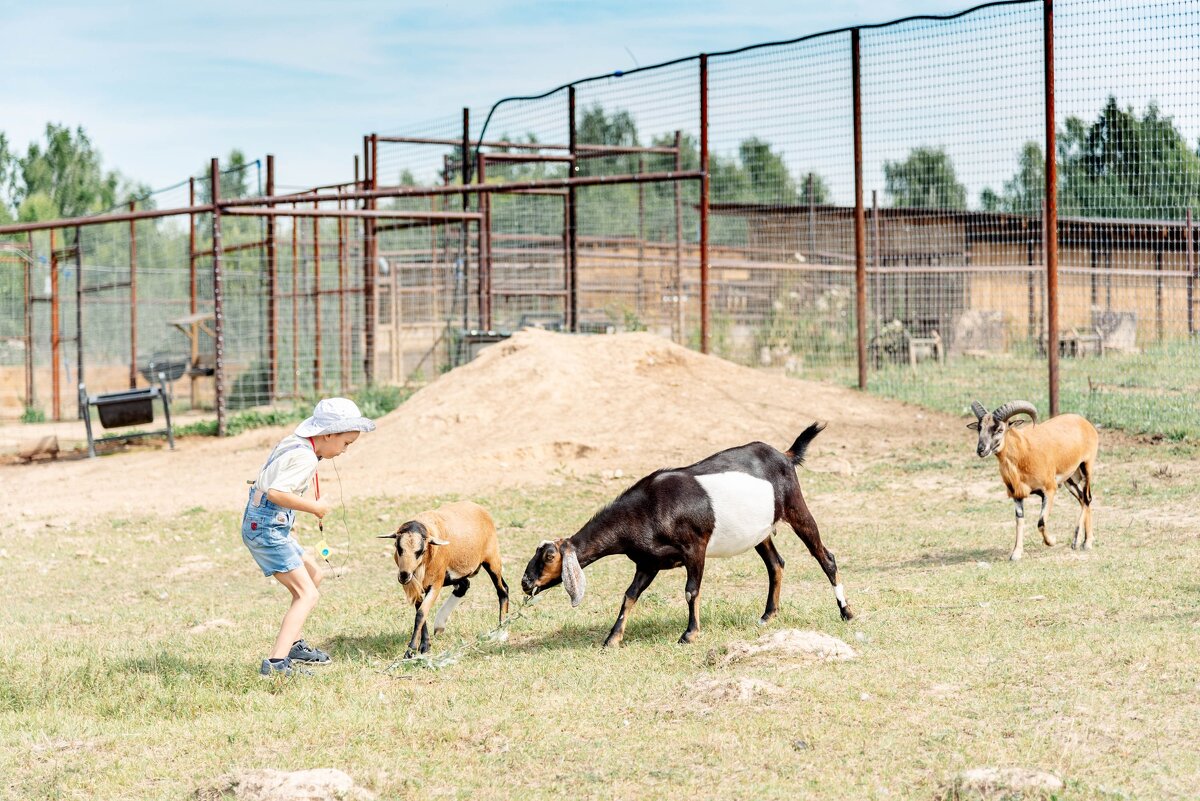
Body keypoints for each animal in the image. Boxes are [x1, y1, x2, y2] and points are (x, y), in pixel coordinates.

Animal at [376, 501, 504, 657]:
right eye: (398, 547)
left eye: (421, 551)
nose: (404, 575)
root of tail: (479, 507)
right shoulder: (418, 587)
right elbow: (421, 614)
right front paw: (425, 645)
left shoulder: (436, 584)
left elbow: (421, 614)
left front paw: (411, 651)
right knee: (464, 585)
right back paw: (439, 625)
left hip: (492, 560)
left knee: (503, 590)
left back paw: (501, 632)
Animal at [520, 422, 849, 647]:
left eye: (549, 556)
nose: (525, 583)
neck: (648, 507)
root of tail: (784, 455)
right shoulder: (648, 562)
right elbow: (629, 595)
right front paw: (612, 639)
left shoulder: (695, 548)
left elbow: (691, 591)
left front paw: (689, 634)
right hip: (760, 531)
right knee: (775, 564)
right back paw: (767, 615)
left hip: (796, 507)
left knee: (825, 556)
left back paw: (846, 612)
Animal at [969, 398, 1099, 561]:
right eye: (979, 428)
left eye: (999, 429)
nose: (981, 450)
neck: (1023, 453)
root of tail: (1085, 423)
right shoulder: (1017, 494)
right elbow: (1019, 521)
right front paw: (1016, 554)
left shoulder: (1049, 490)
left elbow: (1041, 522)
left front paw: (1052, 541)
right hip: (1069, 479)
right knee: (1082, 499)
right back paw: (1083, 541)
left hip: (1086, 467)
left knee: (1087, 499)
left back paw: (1083, 542)